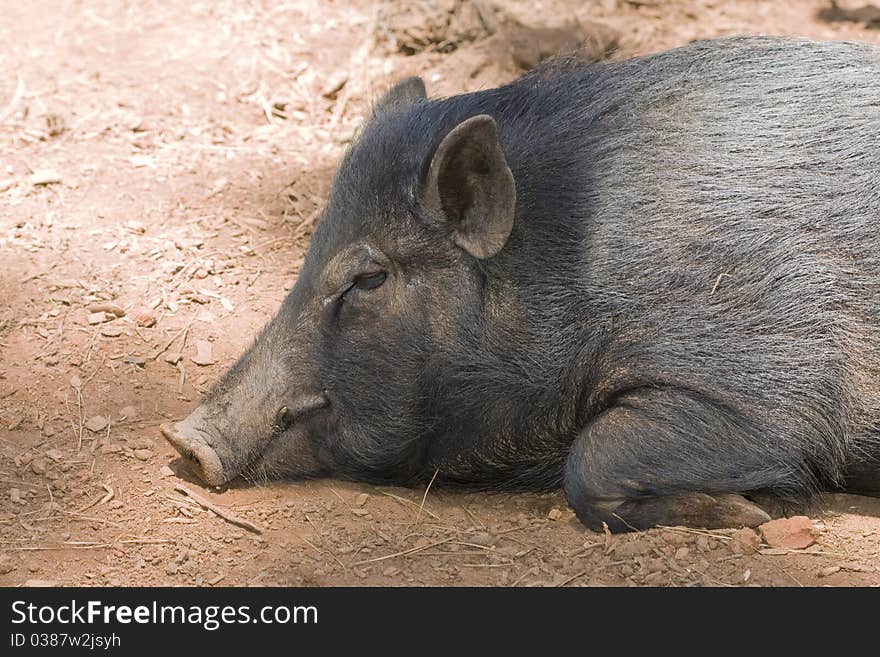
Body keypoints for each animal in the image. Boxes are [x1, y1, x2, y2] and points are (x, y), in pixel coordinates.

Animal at [163, 36, 880, 532]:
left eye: (368, 277)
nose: (182, 442)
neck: (575, 261)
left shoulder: (760, 377)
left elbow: (590, 462)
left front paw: (750, 514)